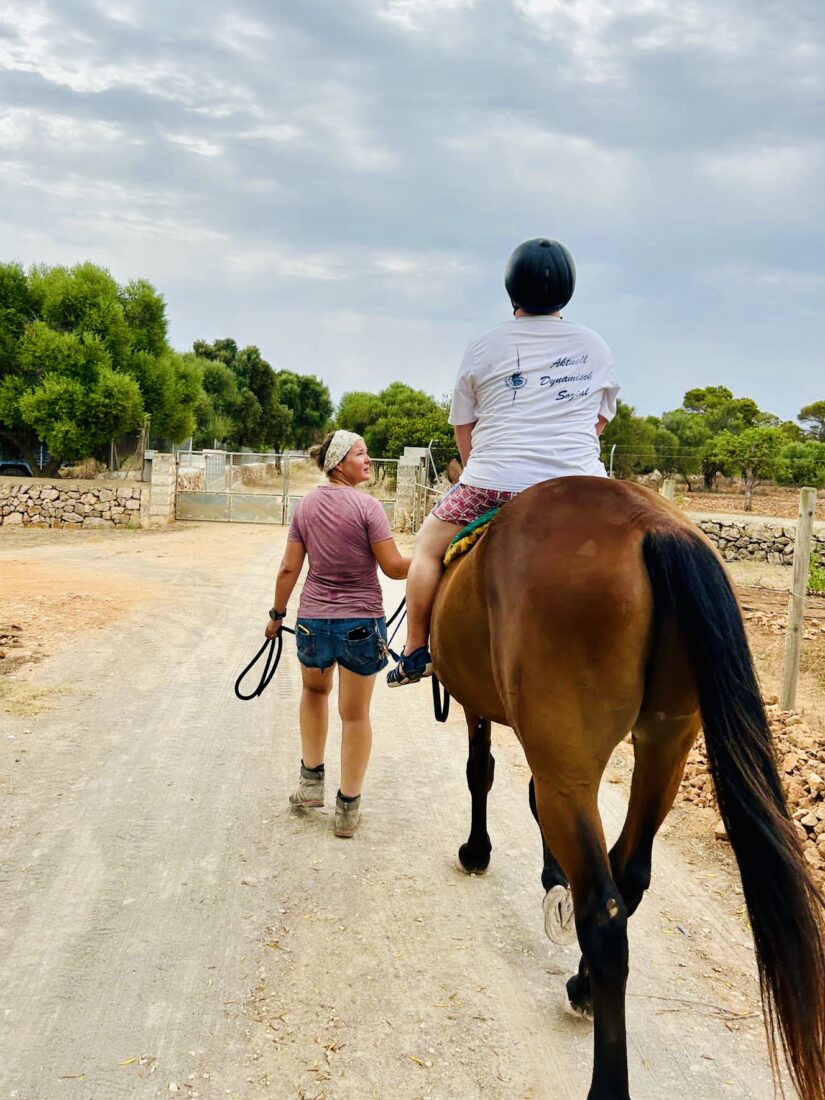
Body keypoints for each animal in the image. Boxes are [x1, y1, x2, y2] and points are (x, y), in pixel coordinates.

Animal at [433, 477, 825, 1100]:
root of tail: (655, 527)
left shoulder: (485, 712)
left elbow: (482, 773)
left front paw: (477, 852)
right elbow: (529, 799)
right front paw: (550, 875)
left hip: (576, 760)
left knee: (606, 912)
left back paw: (603, 1066)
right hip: (665, 748)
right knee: (631, 872)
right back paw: (582, 986)